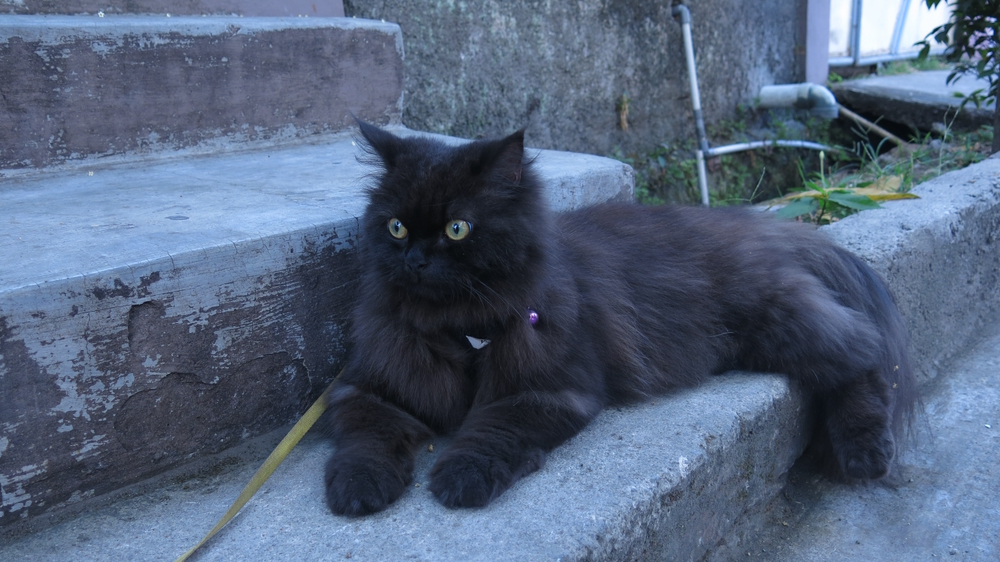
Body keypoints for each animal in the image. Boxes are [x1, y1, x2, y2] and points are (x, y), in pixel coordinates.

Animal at [324, 121, 916, 512]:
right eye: (396, 226)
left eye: (457, 228)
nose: (416, 259)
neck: (463, 329)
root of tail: (765, 225)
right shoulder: (367, 389)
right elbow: (364, 438)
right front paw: (357, 489)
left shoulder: (545, 392)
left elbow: (488, 431)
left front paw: (460, 478)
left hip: (781, 322)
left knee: (865, 352)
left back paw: (866, 451)